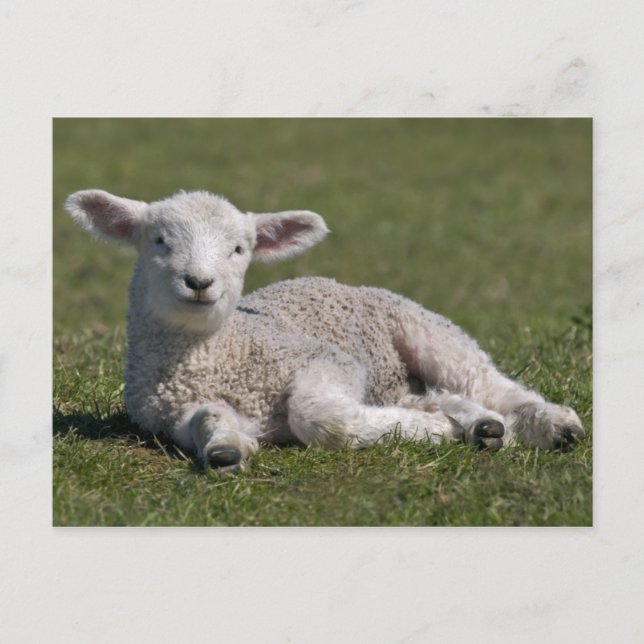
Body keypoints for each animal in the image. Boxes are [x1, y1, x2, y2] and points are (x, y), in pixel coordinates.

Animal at [65, 189, 585, 472]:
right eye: (159, 241)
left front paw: (435, 432)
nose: (198, 282)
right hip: (392, 380)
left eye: (238, 249)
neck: (216, 354)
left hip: (424, 328)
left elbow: (319, 417)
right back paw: (481, 426)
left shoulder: (327, 360)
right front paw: (225, 449)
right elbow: (208, 420)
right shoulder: (170, 413)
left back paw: (550, 425)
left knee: (487, 381)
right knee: (443, 395)